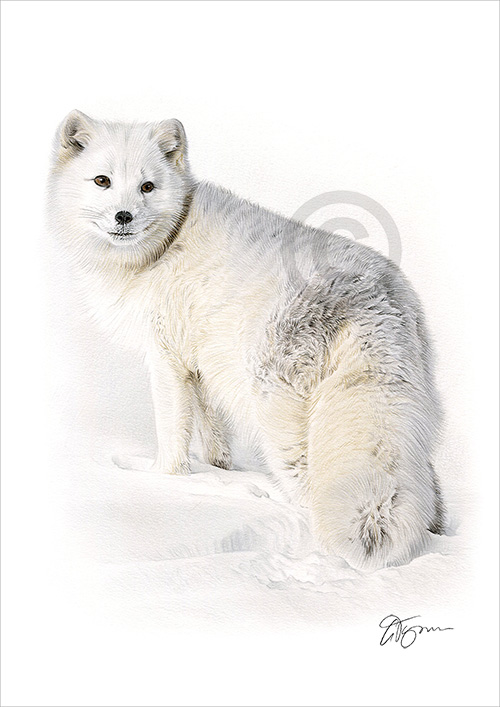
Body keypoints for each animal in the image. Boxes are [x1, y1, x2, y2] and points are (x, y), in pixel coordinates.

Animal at [48, 110, 445, 570]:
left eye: (147, 186)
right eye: (102, 181)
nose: (124, 216)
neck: (164, 246)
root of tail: (371, 296)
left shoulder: (167, 361)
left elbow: (172, 435)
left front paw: (163, 482)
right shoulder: (202, 367)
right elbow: (213, 434)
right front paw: (220, 474)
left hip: (281, 426)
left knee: (310, 493)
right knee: (429, 492)